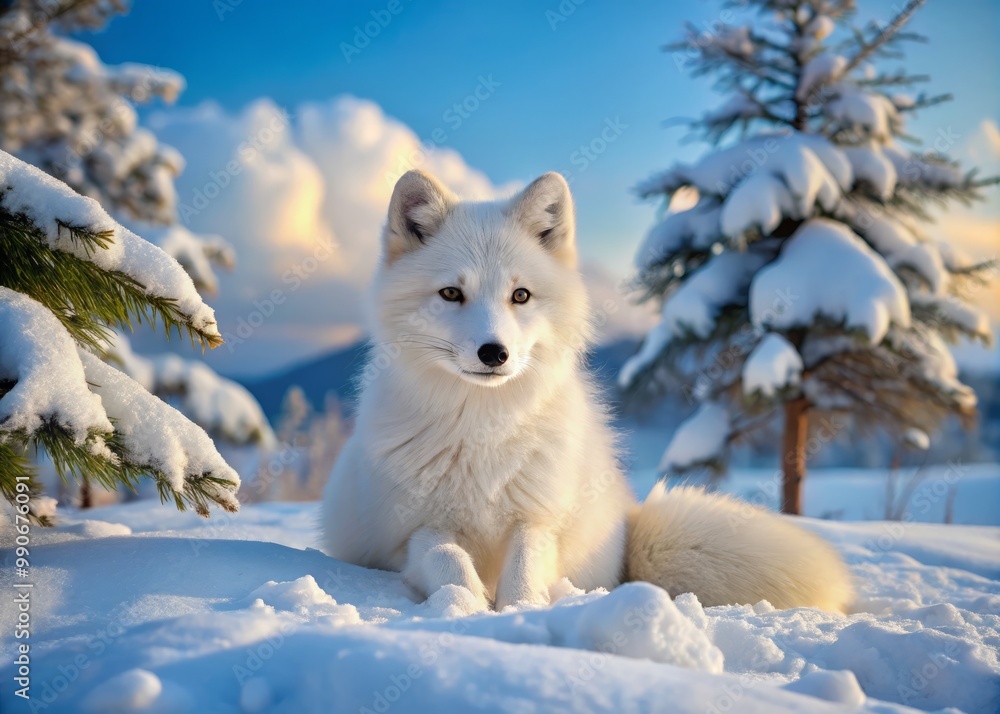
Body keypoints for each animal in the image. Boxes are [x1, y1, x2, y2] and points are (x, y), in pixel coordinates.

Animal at [321, 169, 854, 614]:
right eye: (451, 293)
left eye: (520, 295)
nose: (494, 353)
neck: (484, 427)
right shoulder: (409, 533)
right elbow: (448, 558)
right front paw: (465, 607)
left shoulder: (538, 520)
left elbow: (524, 568)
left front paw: (519, 613)